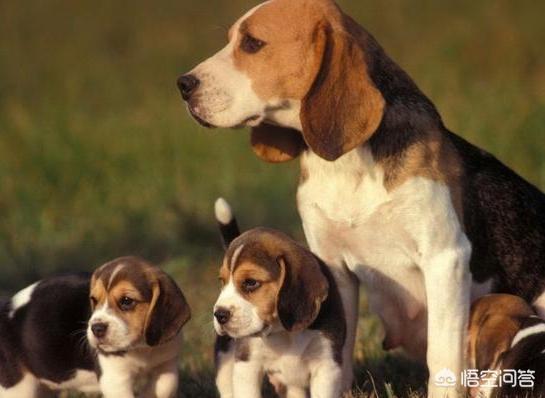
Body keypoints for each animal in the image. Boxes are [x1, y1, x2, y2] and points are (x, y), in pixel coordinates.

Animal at [0, 256, 191, 398]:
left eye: (126, 301)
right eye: (94, 300)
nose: (97, 328)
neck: (142, 349)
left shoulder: (167, 363)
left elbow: (166, 387)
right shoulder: (115, 379)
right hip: (17, 387)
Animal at [211, 199, 344, 398]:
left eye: (251, 282)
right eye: (222, 281)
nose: (219, 314)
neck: (282, 331)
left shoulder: (327, 366)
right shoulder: (246, 364)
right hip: (225, 362)